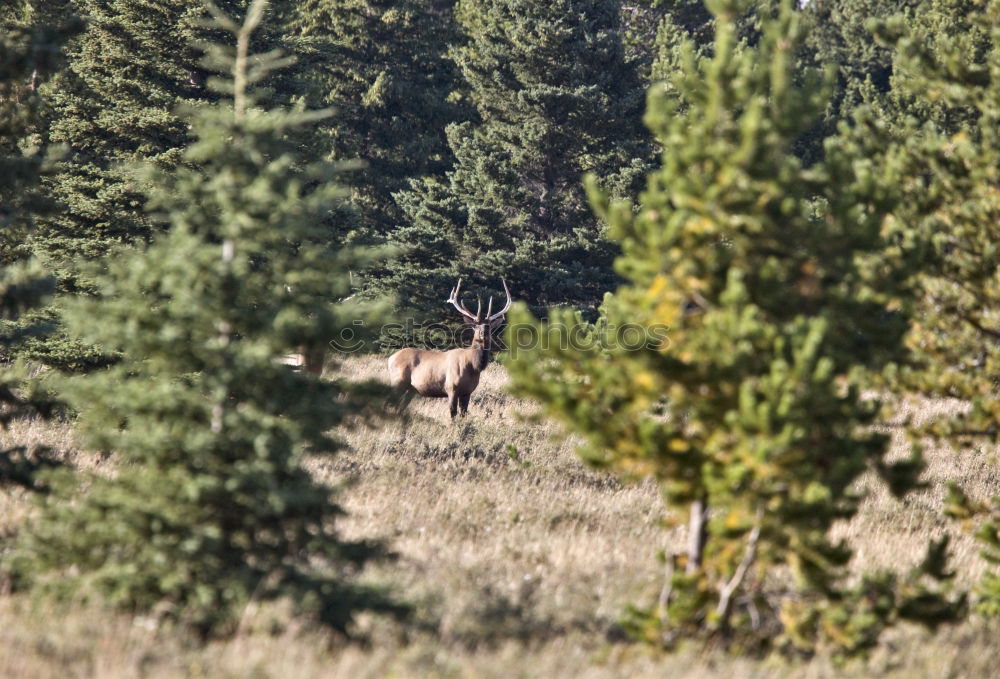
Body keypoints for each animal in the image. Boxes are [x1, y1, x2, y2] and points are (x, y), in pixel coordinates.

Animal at [386, 278, 512, 418]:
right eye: (475, 325)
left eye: (489, 325)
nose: (484, 331)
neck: (473, 366)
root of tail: (390, 359)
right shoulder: (451, 388)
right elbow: (453, 414)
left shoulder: (467, 392)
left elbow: (463, 414)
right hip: (397, 381)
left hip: (412, 389)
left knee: (400, 407)